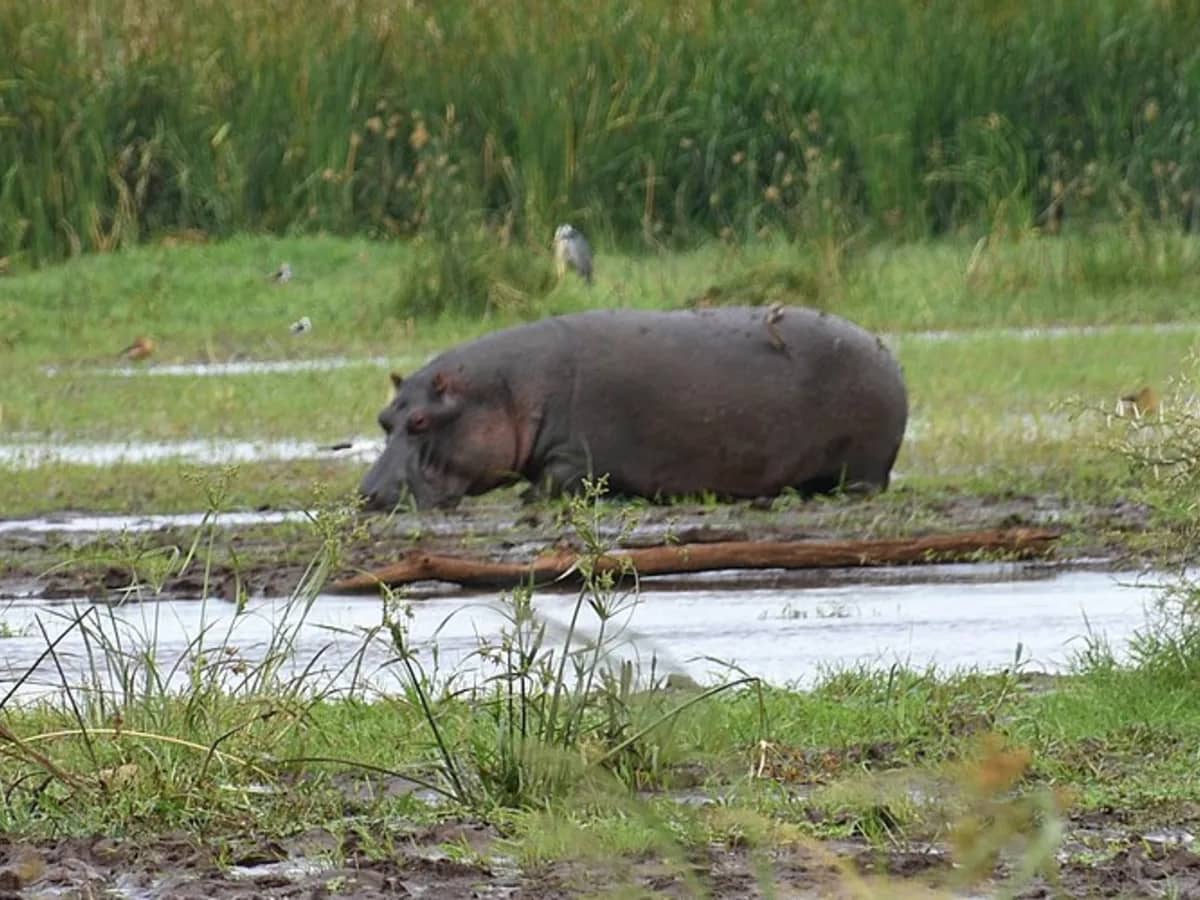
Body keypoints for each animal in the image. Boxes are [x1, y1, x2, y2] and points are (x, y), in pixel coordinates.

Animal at [359, 306, 908, 511]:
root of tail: (885, 350)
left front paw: (528, 498)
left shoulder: (576, 455)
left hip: (864, 463)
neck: (506, 391)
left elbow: (550, 482)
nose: (368, 492)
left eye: (420, 420)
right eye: (384, 419)